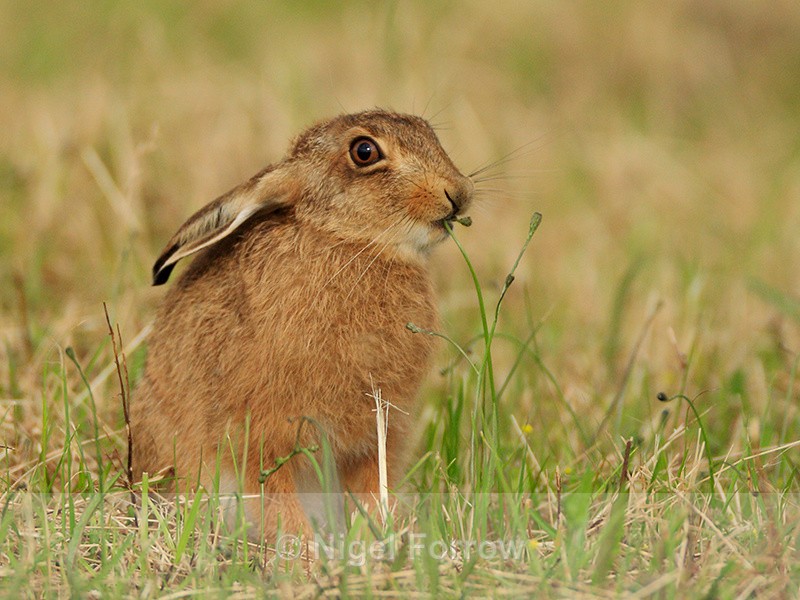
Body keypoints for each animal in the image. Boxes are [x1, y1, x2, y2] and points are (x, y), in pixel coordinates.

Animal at [130, 109, 473, 539]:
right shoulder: (262, 434)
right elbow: (277, 500)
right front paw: (304, 551)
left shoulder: (374, 438)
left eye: (428, 132)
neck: (345, 240)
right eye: (364, 152)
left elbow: (370, 490)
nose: (458, 194)